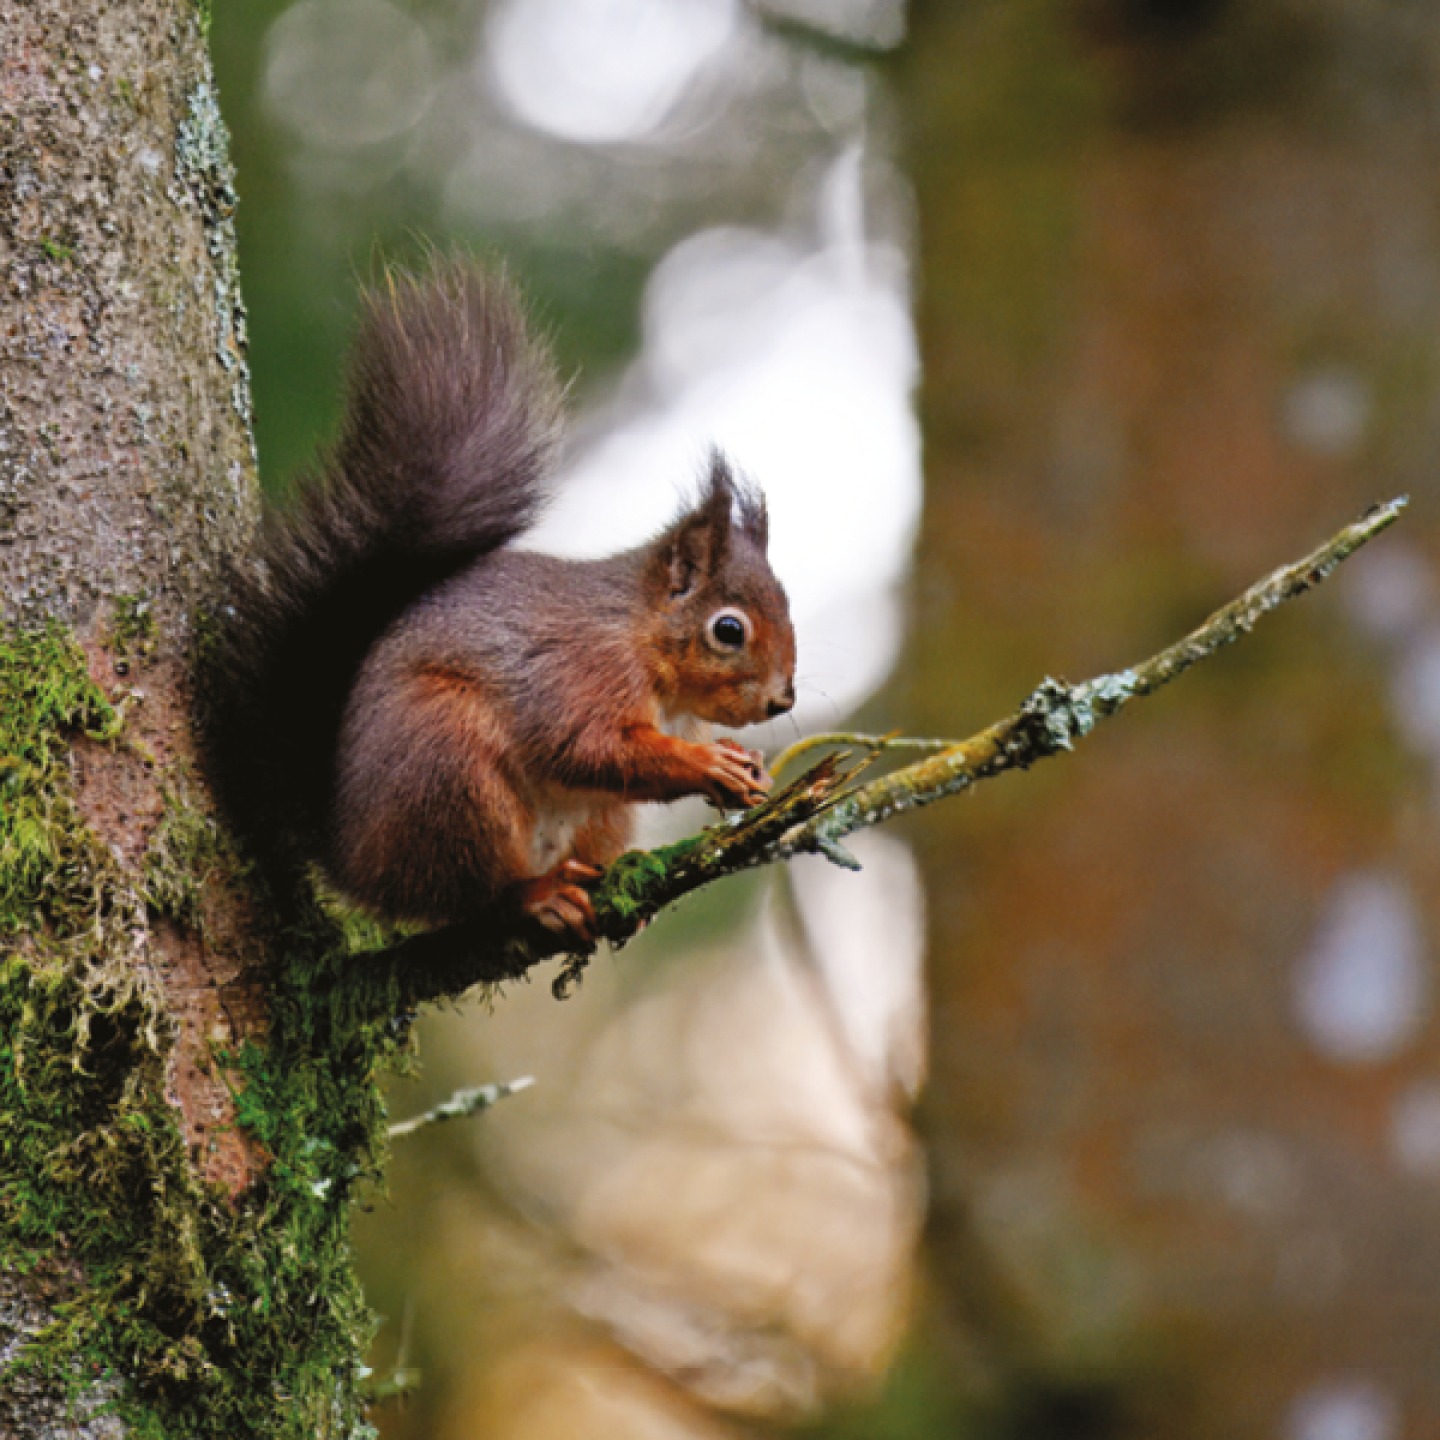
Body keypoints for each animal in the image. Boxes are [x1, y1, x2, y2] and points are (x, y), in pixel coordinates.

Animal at [203, 259, 797, 945]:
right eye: (729, 630)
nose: (783, 700)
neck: (643, 641)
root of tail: (352, 859)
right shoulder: (581, 672)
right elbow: (586, 747)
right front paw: (707, 764)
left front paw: (744, 763)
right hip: (446, 770)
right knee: (474, 896)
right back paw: (536, 895)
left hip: (591, 818)